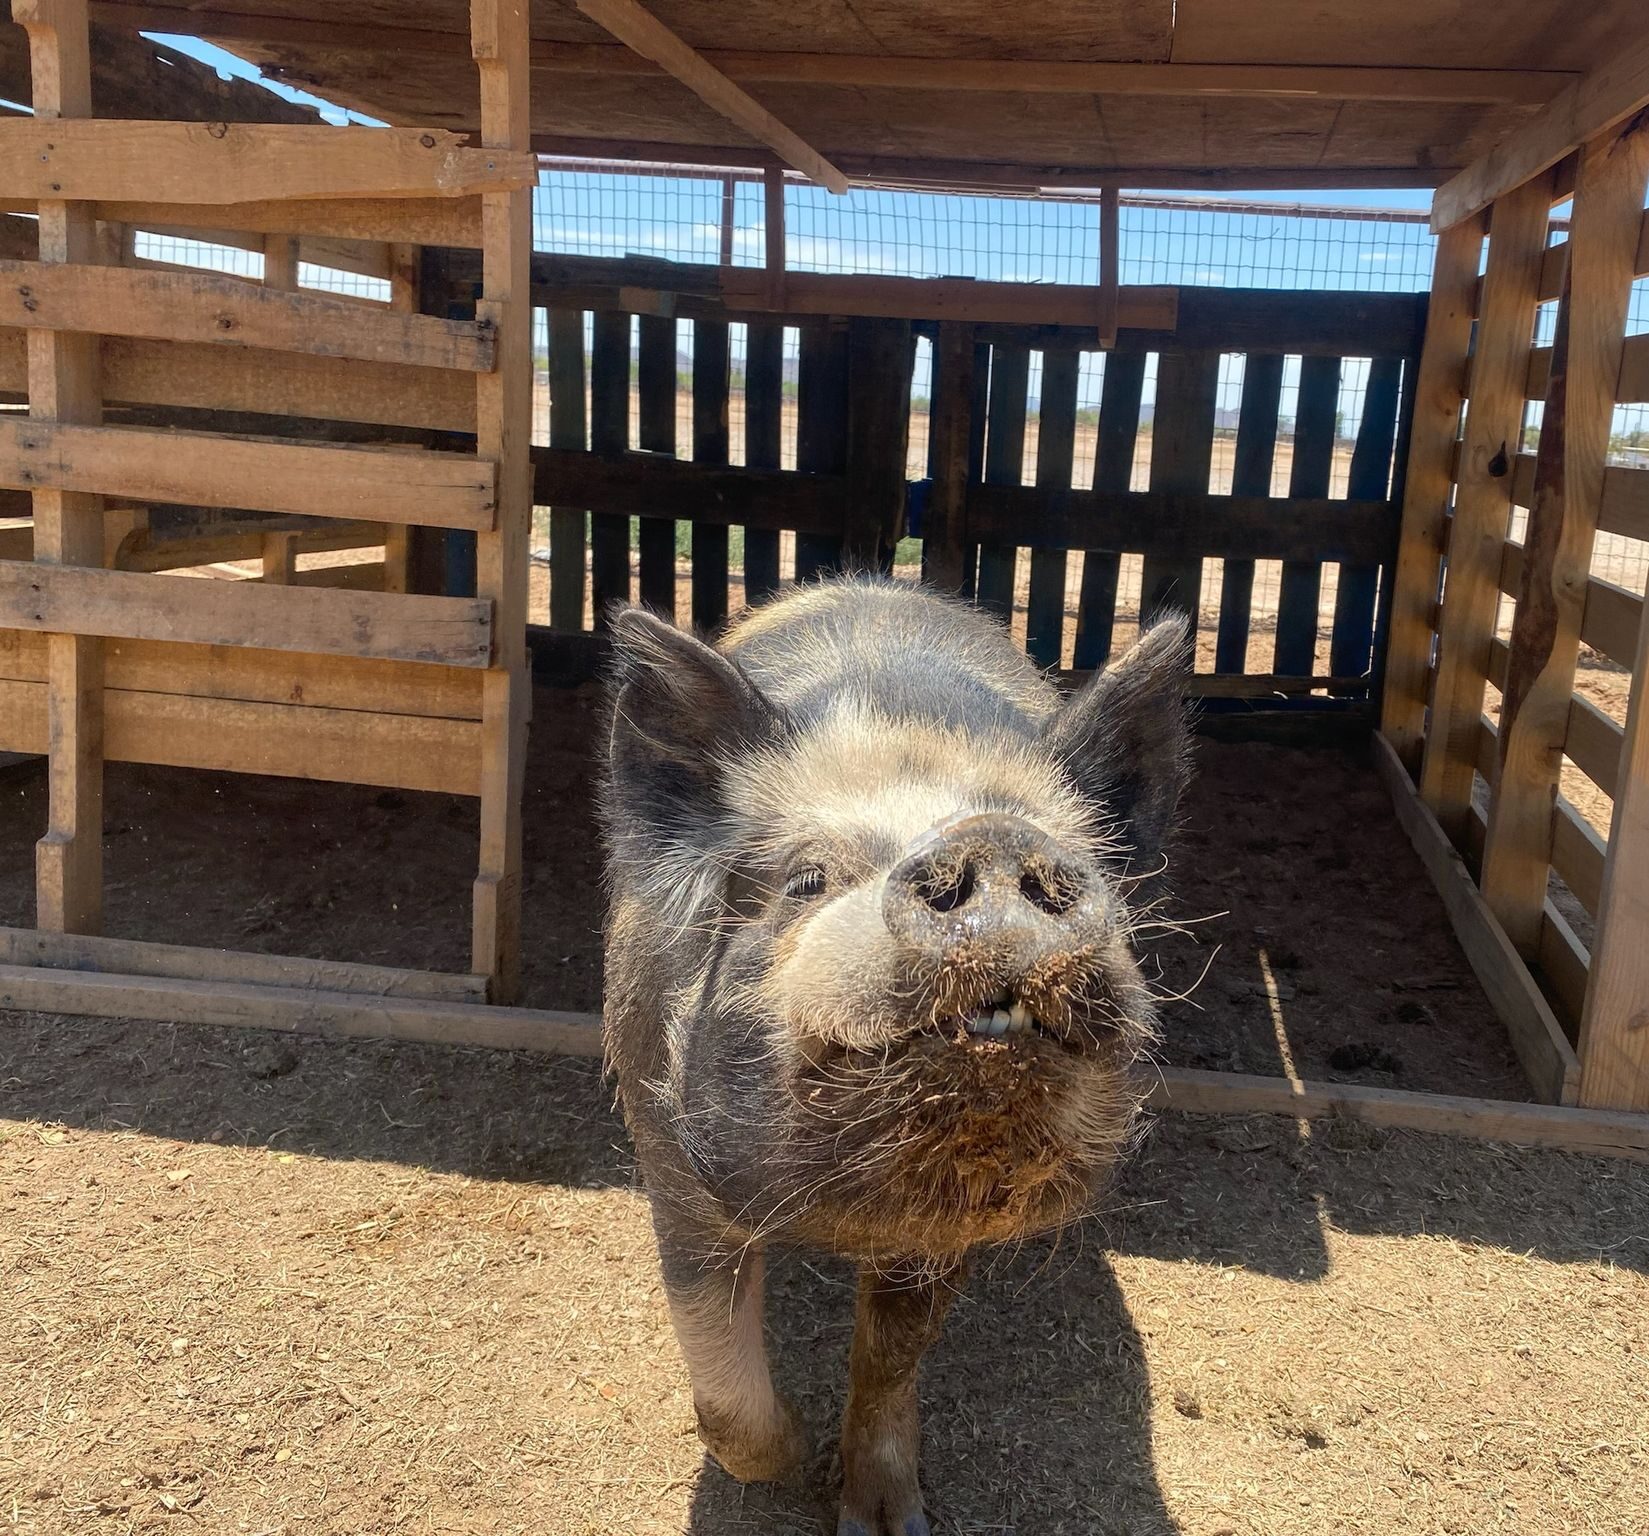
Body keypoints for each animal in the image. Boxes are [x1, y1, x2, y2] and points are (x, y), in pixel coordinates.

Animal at [601, 577, 1191, 1535]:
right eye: (805, 880)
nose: (992, 836)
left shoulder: (937, 1238)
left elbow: (890, 1355)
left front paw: (884, 1520)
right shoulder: (667, 1153)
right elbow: (720, 1376)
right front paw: (791, 1463)